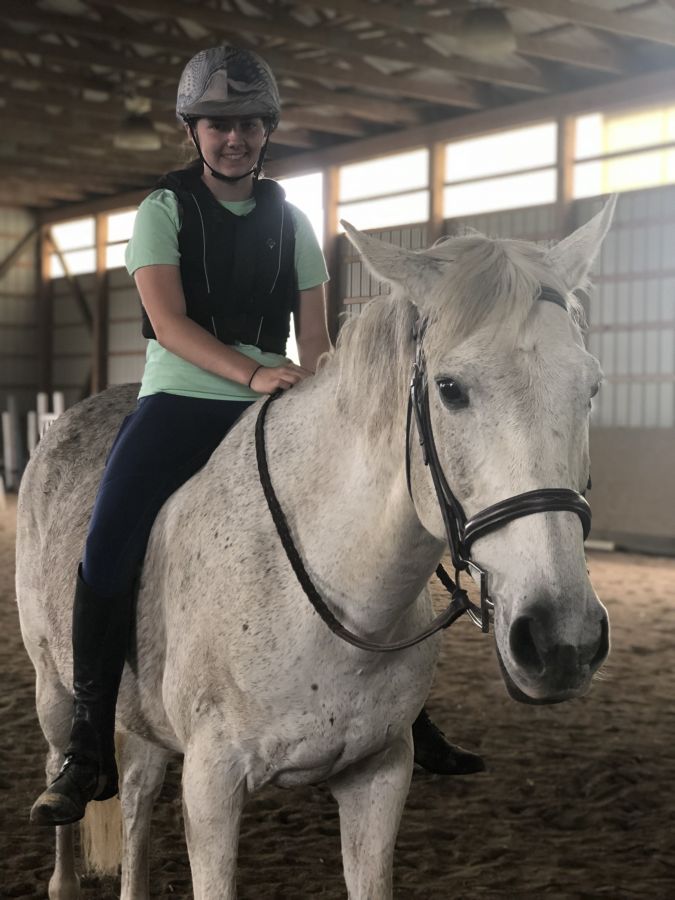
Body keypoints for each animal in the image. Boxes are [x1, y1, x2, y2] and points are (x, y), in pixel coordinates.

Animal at [17, 199, 612, 900]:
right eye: (449, 388)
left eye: (591, 388)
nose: (561, 641)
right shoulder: (212, 787)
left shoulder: (379, 777)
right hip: (52, 688)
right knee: (68, 770)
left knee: (136, 795)